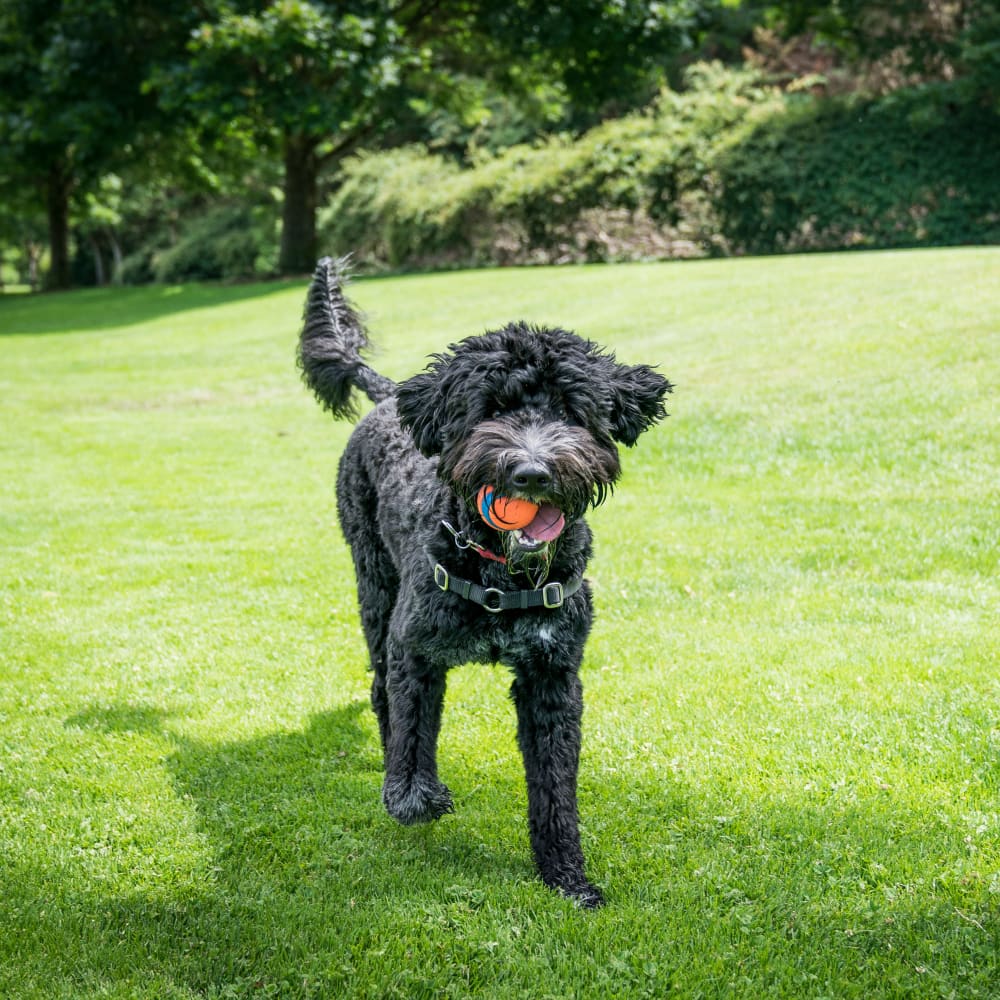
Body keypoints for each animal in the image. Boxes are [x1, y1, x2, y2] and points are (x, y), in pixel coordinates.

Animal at [296, 258, 672, 908]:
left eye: (570, 411)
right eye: (491, 409)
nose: (532, 471)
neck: (499, 571)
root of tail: (390, 397)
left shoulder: (553, 678)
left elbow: (555, 787)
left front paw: (566, 876)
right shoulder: (415, 650)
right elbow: (413, 734)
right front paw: (416, 796)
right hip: (374, 587)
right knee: (381, 691)